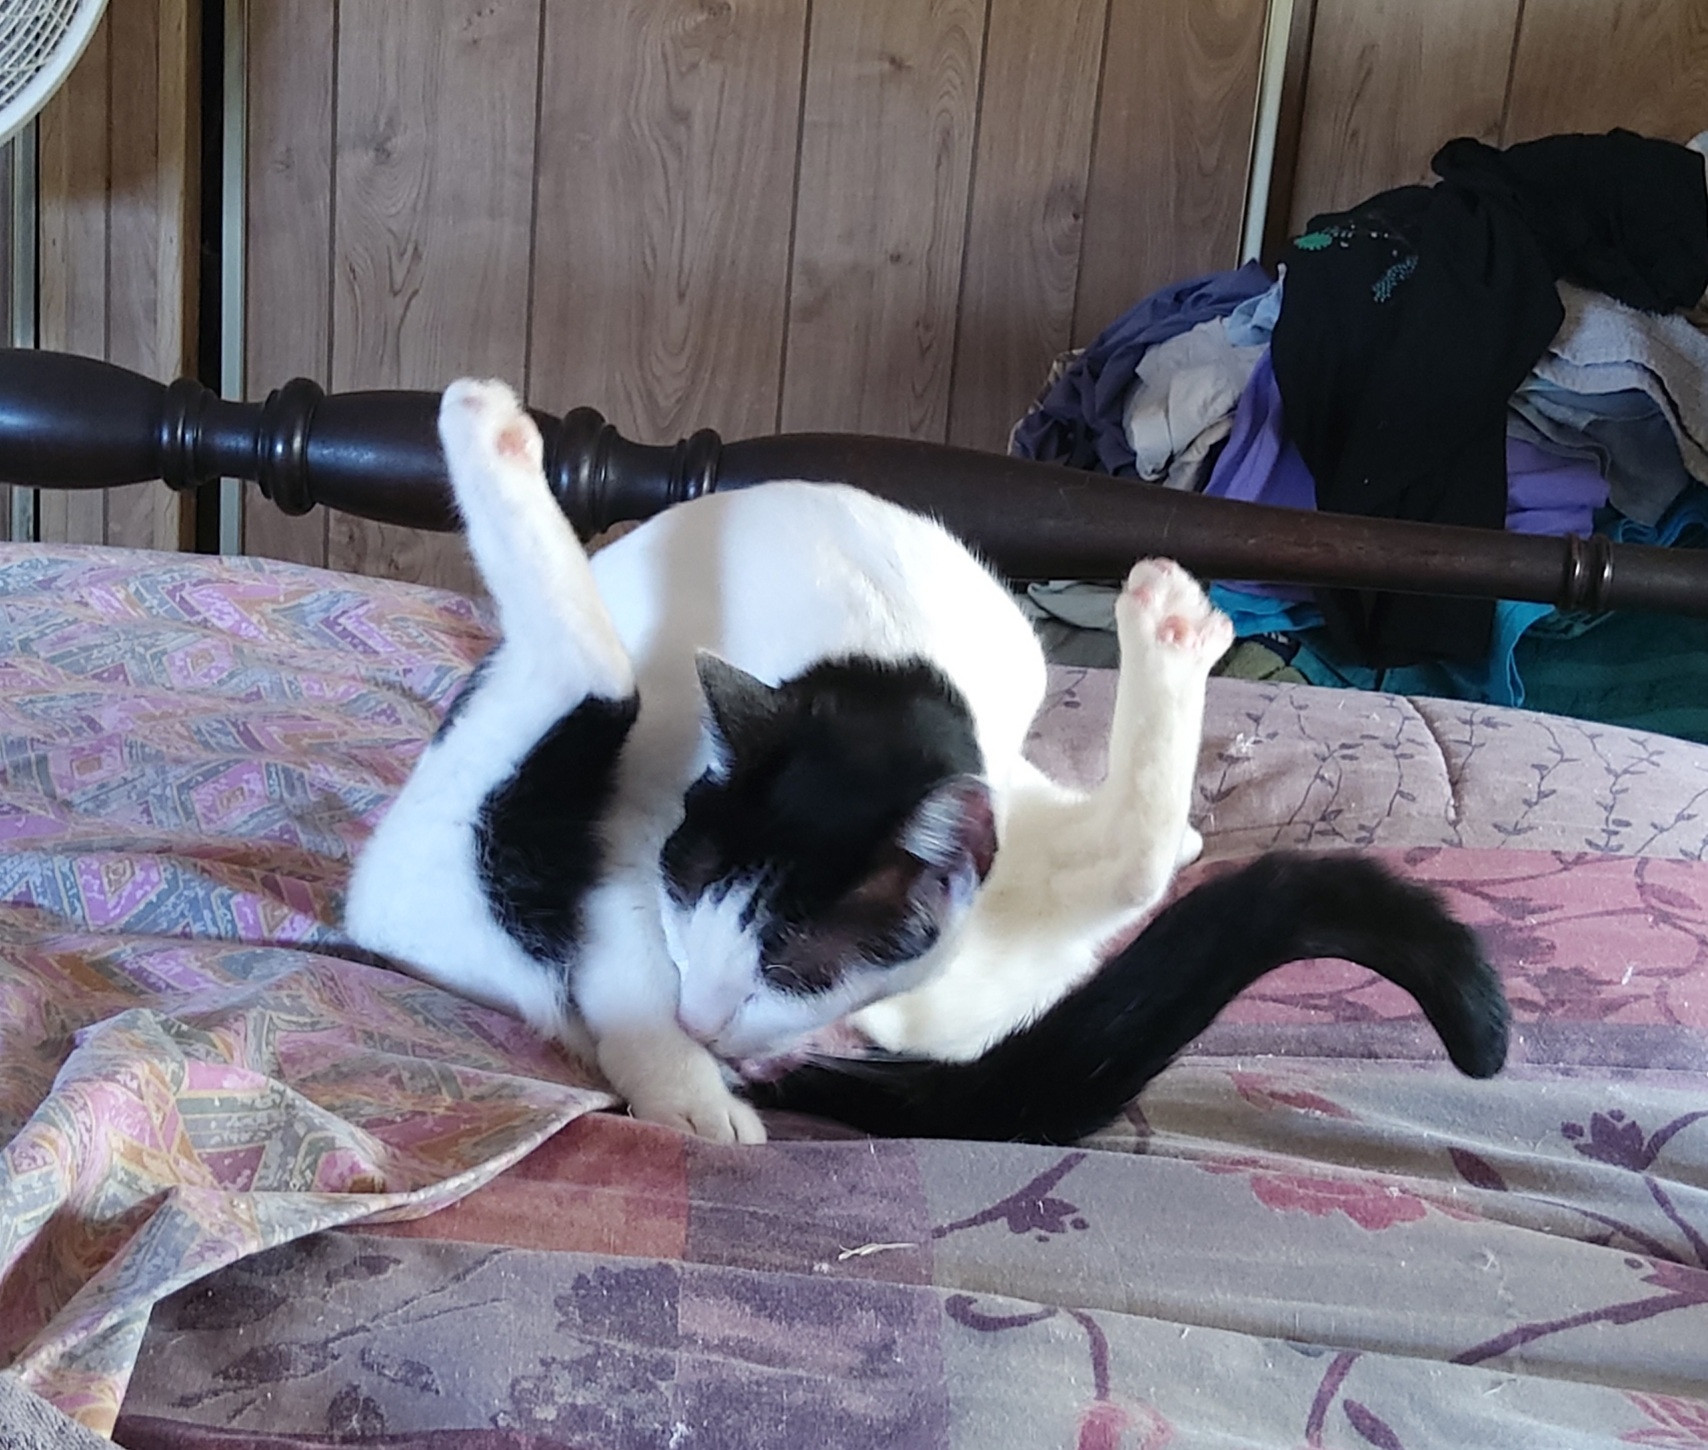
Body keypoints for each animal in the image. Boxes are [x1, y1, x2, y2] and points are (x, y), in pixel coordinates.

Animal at [346, 382, 1509, 1140]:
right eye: (692, 908)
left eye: (794, 961)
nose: (711, 1028)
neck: (876, 653)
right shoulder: (639, 840)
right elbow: (624, 950)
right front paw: (685, 1090)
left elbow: (1124, 853)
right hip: (492, 810)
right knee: (588, 671)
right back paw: (486, 427)